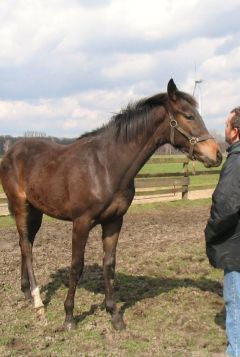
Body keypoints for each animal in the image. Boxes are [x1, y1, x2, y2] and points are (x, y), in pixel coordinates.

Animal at [0, 79, 222, 330]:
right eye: (189, 116)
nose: (217, 154)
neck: (106, 166)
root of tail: (11, 152)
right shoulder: (81, 222)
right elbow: (76, 266)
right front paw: (69, 317)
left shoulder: (114, 221)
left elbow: (109, 264)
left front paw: (114, 314)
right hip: (20, 206)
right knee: (26, 247)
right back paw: (38, 302)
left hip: (36, 211)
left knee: (24, 243)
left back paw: (27, 292)